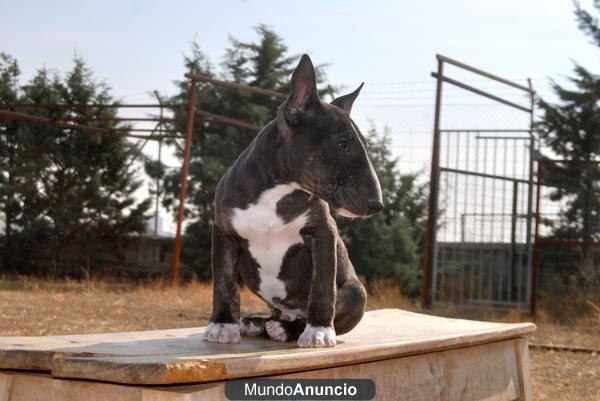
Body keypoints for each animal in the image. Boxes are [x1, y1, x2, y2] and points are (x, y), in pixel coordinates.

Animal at [204, 54, 382, 346]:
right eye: (342, 144)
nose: (377, 204)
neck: (280, 191)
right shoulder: (223, 231)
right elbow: (224, 282)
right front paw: (222, 324)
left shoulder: (322, 232)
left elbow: (322, 286)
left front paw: (319, 330)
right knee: (273, 314)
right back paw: (255, 323)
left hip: (357, 293)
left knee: (313, 312)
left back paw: (286, 328)